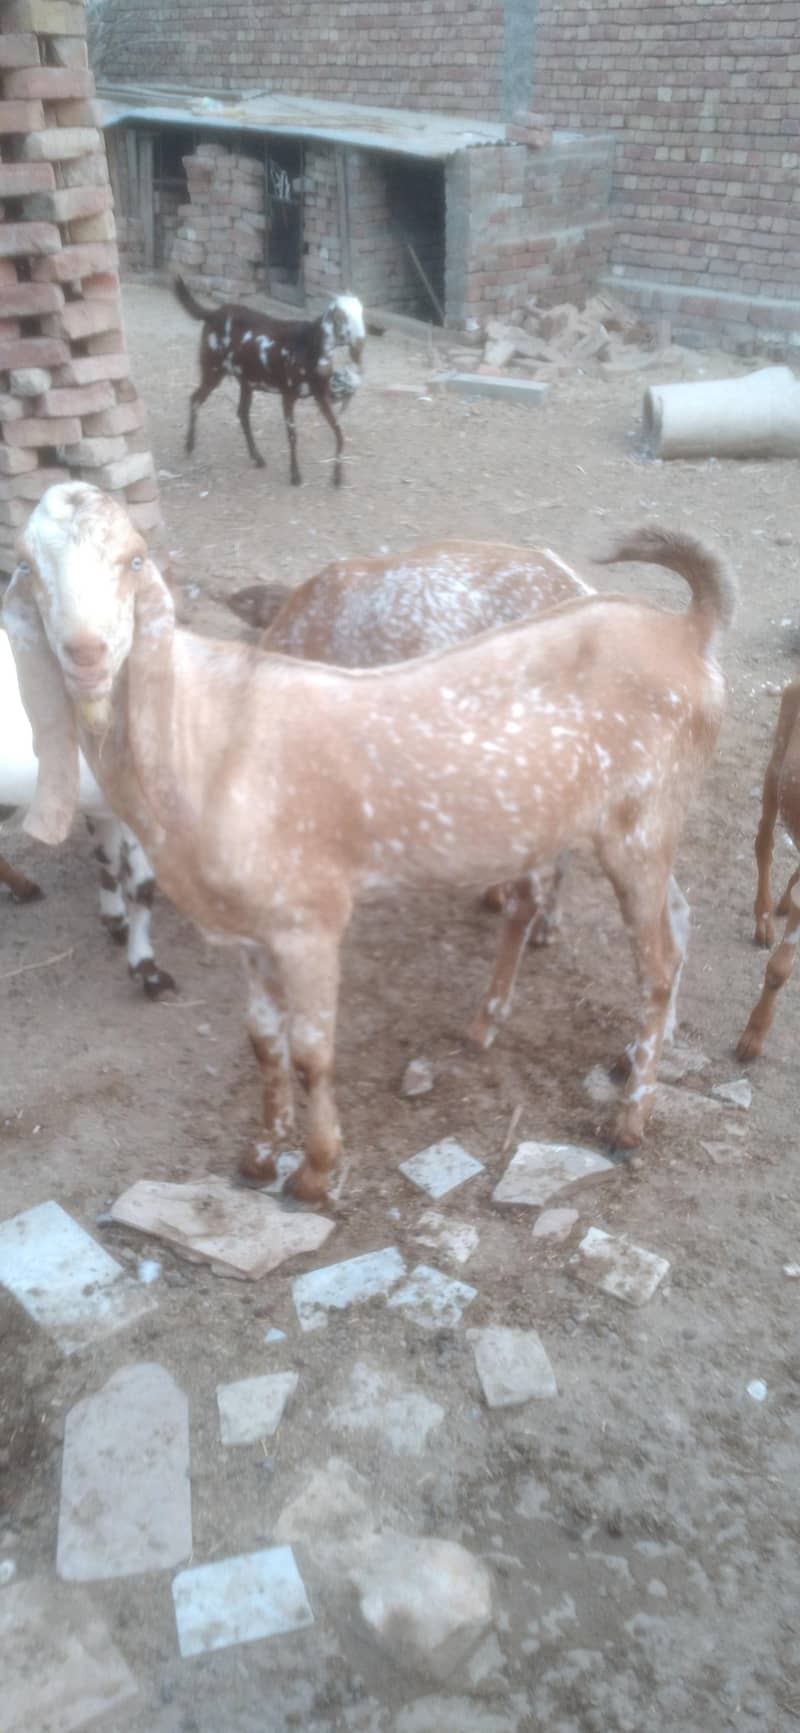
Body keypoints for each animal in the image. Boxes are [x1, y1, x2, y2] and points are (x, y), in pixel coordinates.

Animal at [174, 276, 365, 487]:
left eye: (361, 312)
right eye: (341, 317)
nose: (360, 341)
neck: (310, 344)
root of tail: (213, 313)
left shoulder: (320, 395)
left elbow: (339, 432)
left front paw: (337, 477)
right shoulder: (288, 396)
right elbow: (292, 435)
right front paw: (295, 476)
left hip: (246, 380)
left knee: (242, 413)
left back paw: (257, 458)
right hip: (213, 368)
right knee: (195, 399)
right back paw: (189, 446)